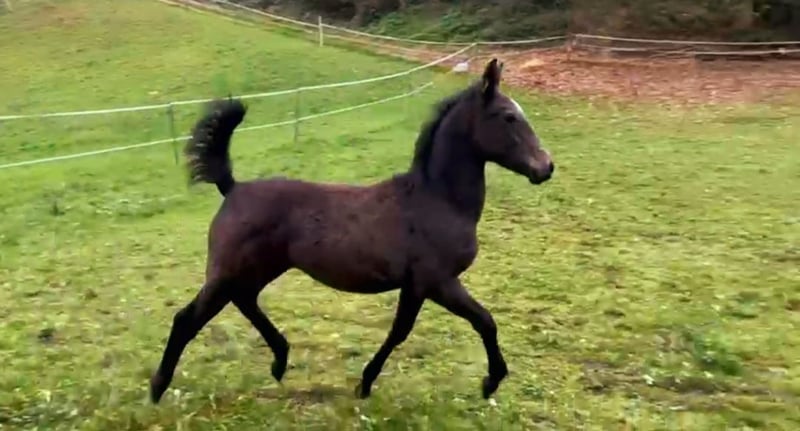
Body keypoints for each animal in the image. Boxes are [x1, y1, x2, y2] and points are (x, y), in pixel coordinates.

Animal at [149, 58, 555, 404]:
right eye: (508, 117)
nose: (546, 167)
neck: (437, 199)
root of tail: (232, 187)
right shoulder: (436, 281)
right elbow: (477, 322)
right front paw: (489, 382)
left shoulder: (418, 285)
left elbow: (409, 330)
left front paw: (366, 382)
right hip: (229, 271)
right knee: (188, 318)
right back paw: (157, 389)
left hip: (259, 268)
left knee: (244, 300)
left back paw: (280, 360)